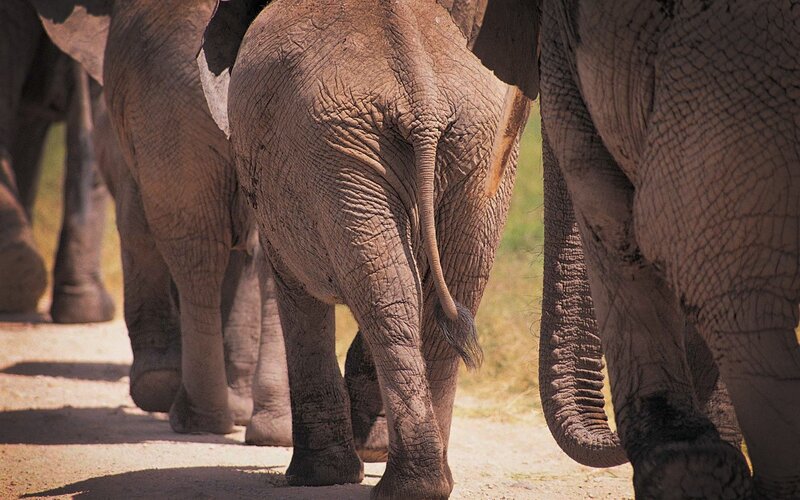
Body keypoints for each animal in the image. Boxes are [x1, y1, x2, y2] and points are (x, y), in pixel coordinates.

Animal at [198, 0, 528, 497]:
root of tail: (424, 99)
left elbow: (294, 288)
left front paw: (317, 478)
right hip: (471, 151)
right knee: (433, 293)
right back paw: (428, 484)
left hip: (337, 153)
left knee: (387, 296)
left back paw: (401, 485)